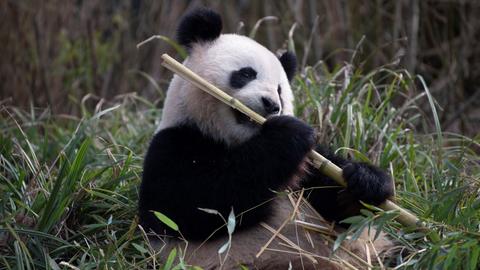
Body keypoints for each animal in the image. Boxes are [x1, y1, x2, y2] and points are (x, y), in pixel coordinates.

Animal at [139, 7, 394, 268]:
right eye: (246, 73)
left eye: (280, 90)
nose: (272, 105)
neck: (236, 141)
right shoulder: (175, 143)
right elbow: (193, 205)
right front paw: (288, 134)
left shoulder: (309, 168)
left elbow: (341, 212)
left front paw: (366, 180)